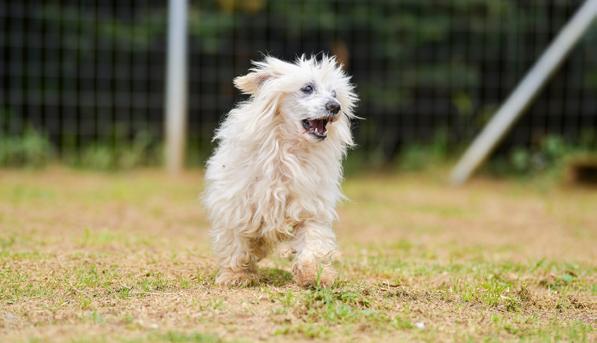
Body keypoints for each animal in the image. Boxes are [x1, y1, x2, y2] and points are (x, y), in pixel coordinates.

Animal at [203, 55, 356, 288]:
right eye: (307, 88)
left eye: (334, 94)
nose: (335, 106)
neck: (288, 149)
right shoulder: (237, 203)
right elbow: (236, 243)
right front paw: (236, 275)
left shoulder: (310, 207)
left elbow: (313, 241)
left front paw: (313, 274)